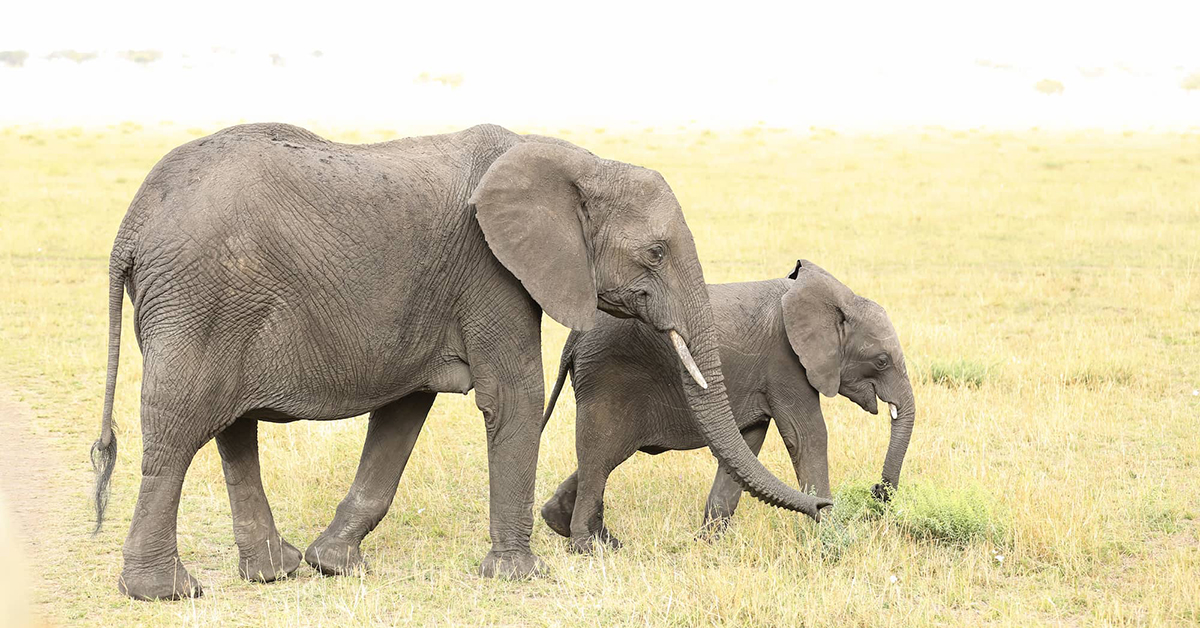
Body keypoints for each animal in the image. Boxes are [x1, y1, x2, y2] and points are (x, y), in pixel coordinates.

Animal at [88, 121, 830, 600]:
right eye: (654, 252)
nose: (826, 508)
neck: (578, 162)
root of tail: (129, 225)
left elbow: (403, 411)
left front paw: (336, 567)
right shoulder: (492, 272)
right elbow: (515, 398)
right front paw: (520, 578)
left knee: (230, 429)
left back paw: (275, 572)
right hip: (199, 299)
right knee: (179, 429)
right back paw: (165, 592)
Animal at [540, 259, 912, 549]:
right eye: (881, 361)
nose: (876, 490)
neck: (838, 298)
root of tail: (574, 338)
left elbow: (748, 443)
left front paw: (708, 545)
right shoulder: (786, 363)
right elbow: (806, 437)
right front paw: (833, 536)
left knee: (604, 455)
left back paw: (576, 528)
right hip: (609, 378)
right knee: (602, 453)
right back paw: (590, 548)